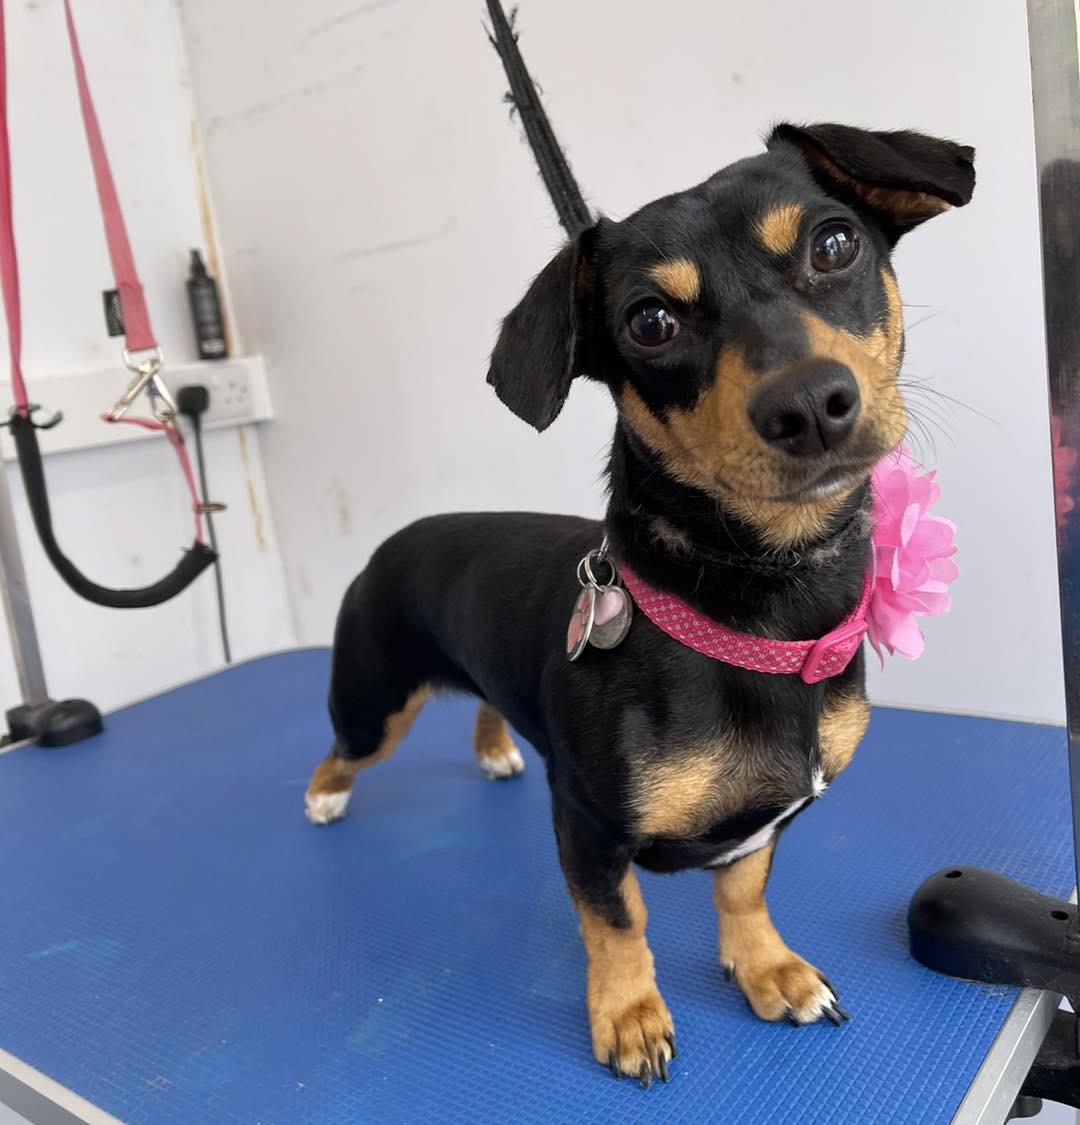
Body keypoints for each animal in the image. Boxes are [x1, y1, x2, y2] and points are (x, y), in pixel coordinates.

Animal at [305, 122, 974, 1086]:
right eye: (650, 322)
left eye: (835, 244)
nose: (810, 403)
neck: (764, 611)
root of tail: (397, 539)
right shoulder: (588, 821)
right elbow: (618, 922)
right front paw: (627, 1014)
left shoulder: (764, 824)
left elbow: (744, 889)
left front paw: (766, 968)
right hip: (373, 702)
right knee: (341, 749)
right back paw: (325, 795)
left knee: (481, 704)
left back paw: (495, 746)